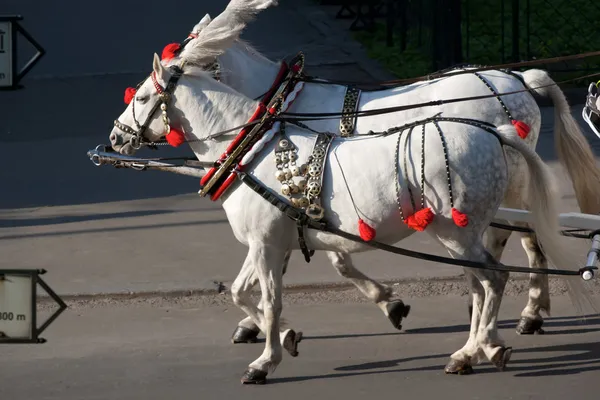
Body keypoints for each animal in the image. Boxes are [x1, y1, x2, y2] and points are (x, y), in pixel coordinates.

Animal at [105, 0, 592, 382]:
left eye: (143, 96)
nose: (115, 138)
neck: (269, 125)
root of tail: (518, 80)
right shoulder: (284, 231)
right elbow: (251, 289)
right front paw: (273, 331)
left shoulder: (283, 230)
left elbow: (291, 285)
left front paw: (273, 348)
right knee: (505, 256)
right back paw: (495, 332)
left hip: (478, 212)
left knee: (507, 258)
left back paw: (507, 327)